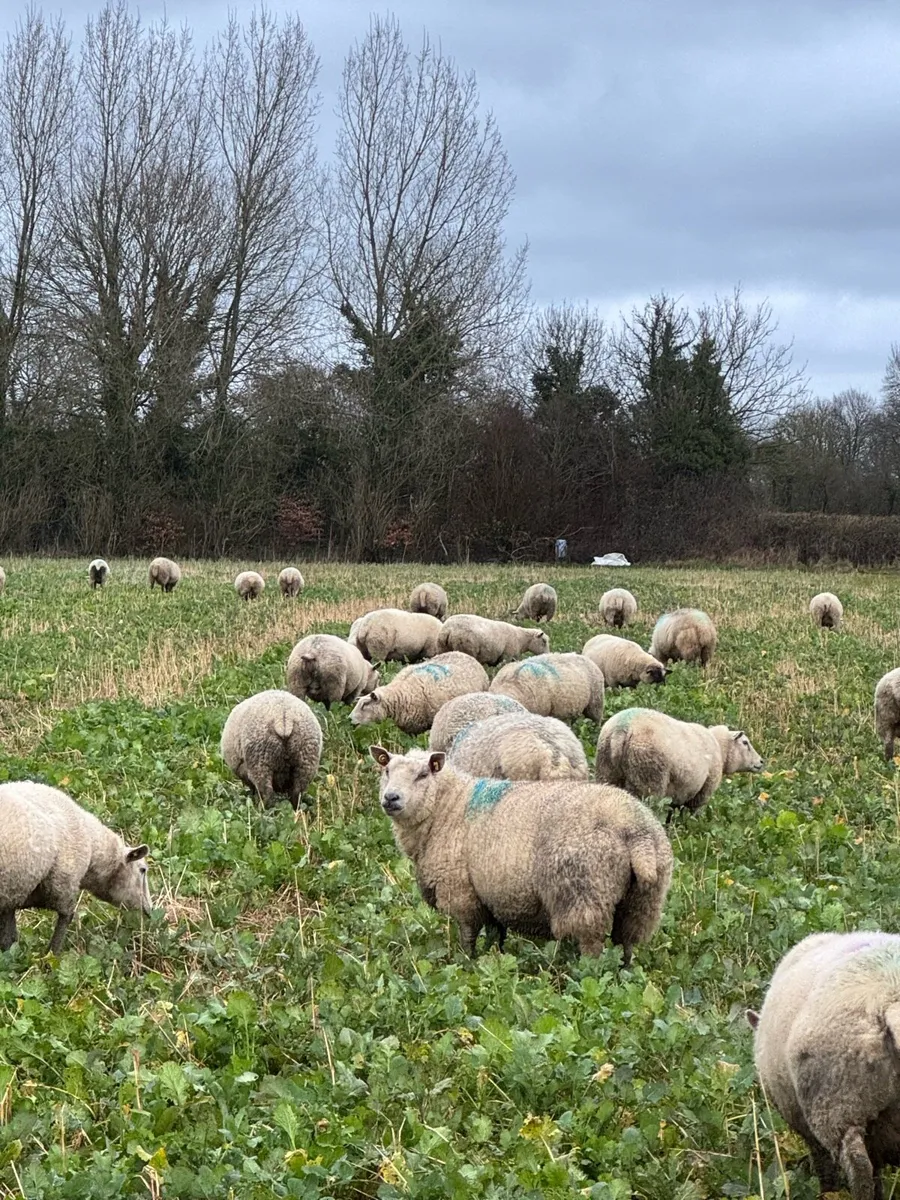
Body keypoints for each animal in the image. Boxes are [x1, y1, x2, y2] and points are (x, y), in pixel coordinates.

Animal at [0, 780, 150, 954]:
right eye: (142, 870)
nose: (150, 911)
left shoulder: (12, 894)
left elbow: (9, 939)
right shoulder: (63, 885)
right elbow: (66, 917)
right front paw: (52, 953)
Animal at [371, 745, 673, 963]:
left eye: (423, 774)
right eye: (386, 771)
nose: (391, 798)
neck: (447, 806)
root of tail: (636, 831)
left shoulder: (460, 891)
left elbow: (468, 936)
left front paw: (465, 965)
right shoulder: (492, 896)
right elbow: (496, 935)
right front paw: (494, 961)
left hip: (584, 894)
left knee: (592, 947)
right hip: (643, 900)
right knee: (627, 943)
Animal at [595, 707, 763, 819]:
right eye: (745, 742)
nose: (761, 761)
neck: (721, 749)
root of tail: (621, 731)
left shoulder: (678, 793)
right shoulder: (702, 792)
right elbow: (690, 815)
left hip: (607, 769)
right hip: (648, 778)